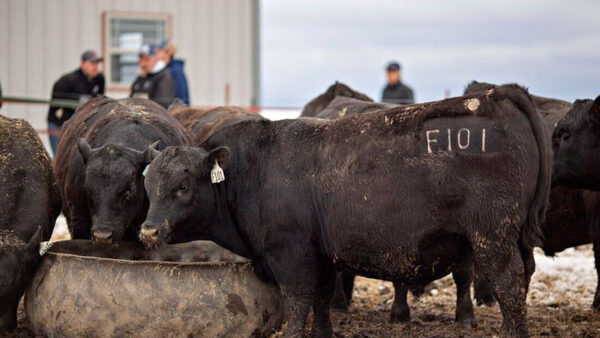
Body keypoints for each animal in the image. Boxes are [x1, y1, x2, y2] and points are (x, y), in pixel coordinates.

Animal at [142, 85, 552, 338]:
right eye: (148, 184)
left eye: (183, 186)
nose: (148, 231)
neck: (256, 167)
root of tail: (496, 95)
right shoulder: (322, 254)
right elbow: (323, 299)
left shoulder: (290, 252)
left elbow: (298, 301)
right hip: (514, 239)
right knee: (522, 282)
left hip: (491, 236)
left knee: (508, 285)